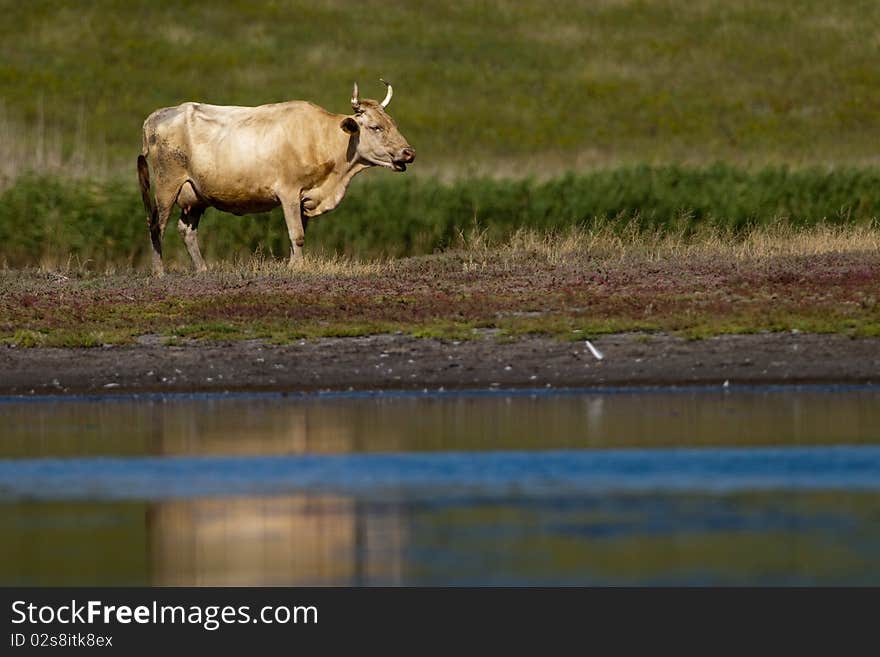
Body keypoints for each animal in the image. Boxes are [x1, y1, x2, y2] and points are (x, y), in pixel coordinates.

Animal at [135, 80, 416, 276]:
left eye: (394, 124)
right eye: (375, 127)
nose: (408, 153)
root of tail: (157, 116)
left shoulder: (305, 197)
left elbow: (298, 234)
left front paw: (293, 264)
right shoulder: (289, 192)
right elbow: (297, 234)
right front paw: (298, 269)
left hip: (195, 194)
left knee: (186, 230)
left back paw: (203, 269)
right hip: (166, 185)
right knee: (156, 226)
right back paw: (159, 272)